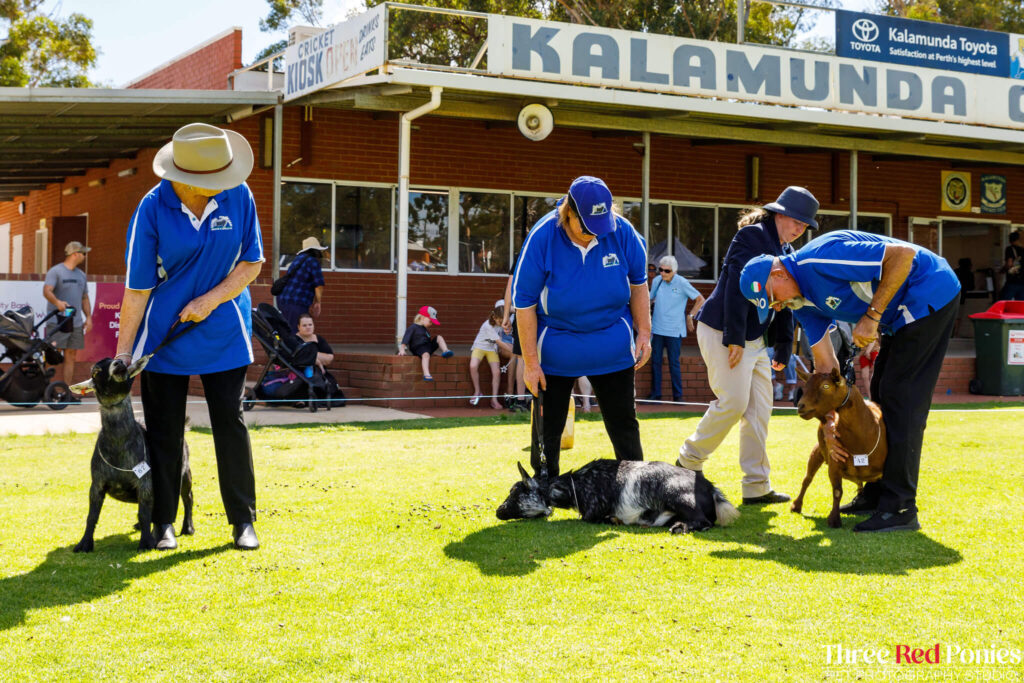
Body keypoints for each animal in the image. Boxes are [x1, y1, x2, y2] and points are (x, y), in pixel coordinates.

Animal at [69, 356, 192, 552]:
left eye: (120, 363)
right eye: (95, 371)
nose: (118, 363)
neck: (119, 448)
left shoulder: (145, 483)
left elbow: (144, 513)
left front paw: (146, 542)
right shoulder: (97, 484)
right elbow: (92, 516)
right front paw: (84, 543)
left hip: (185, 472)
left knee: (188, 499)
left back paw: (187, 528)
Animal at [493, 458, 737, 532]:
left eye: (515, 492)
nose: (498, 511)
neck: (575, 485)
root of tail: (711, 489)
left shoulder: (592, 513)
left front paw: (613, 519)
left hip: (676, 493)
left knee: (704, 521)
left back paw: (681, 527)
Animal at [790, 368, 888, 528]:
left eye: (826, 386)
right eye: (806, 385)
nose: (800, 406)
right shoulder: (834, 463)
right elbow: (837, 491)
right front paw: (834, 519)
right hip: (817, 451)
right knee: (807, 479)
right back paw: (796, 505)